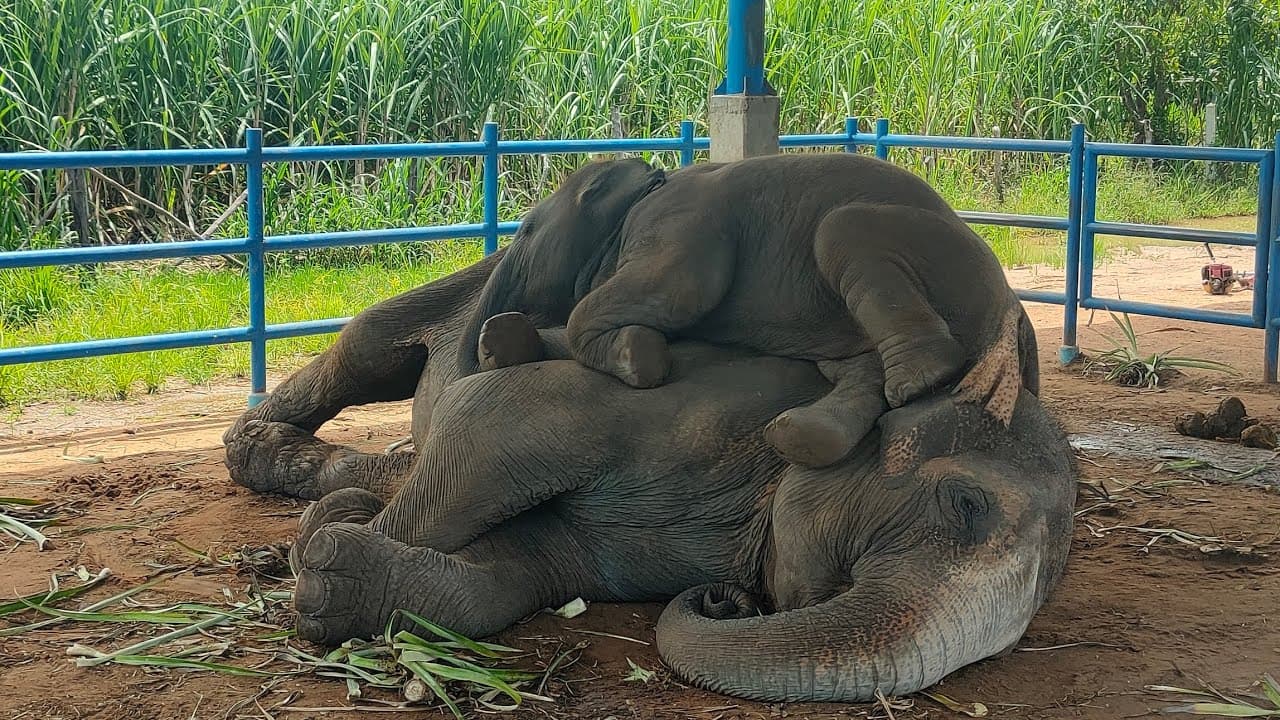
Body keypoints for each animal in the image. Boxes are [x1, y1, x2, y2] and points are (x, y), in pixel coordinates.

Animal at [222, 256, 1080, 702]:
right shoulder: (711, 396)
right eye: (965, 503)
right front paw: (326, 541)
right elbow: (499, 421)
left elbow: (524, 566)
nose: (727, 598)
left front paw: (339, 565)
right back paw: (275, 458)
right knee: (370, 345)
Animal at [460, 151, 1039, 466]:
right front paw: (501, 346)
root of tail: (1013, 309)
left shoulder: (677, 220)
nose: (468, 364)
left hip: (937, 255)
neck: (649, 184)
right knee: (854, 368)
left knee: (843, 233)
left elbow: (682, 291)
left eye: (525, 229)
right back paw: (799, 436)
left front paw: (641, 358)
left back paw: (919, 381)